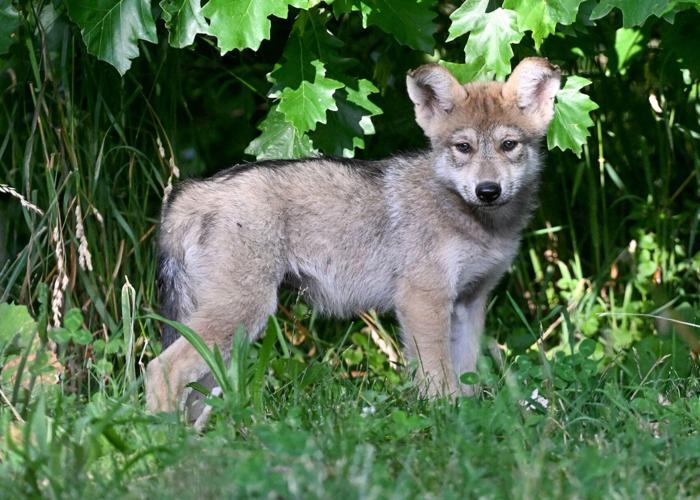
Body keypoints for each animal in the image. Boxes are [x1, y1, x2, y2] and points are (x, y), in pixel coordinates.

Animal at [145, 57, 561, 414]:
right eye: (464, 147)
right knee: (160, 369)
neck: (475, 221)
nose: (487, 190)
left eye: (509, 145)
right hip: (242, 315)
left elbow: (468, 378)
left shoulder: (470, 303)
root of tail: (193, 191)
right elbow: (439, 379)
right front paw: (446, 418)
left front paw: (472, 421)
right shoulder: (422, 301)